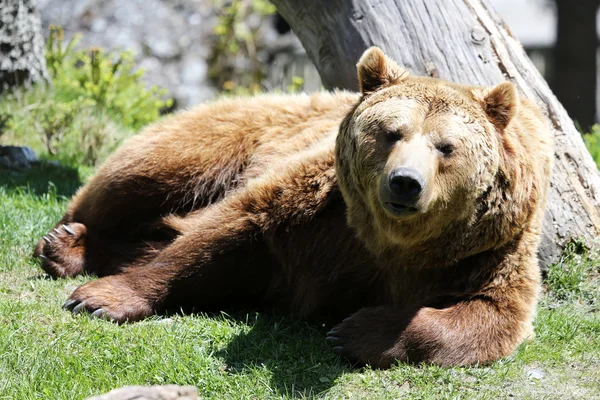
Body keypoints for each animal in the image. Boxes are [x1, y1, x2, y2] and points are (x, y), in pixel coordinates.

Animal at [35, 47, 556, 368]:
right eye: (392, 132)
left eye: (445, 146)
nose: (405, 183)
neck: (393, 243)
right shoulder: (318, 204)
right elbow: (228, 229)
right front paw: (101, 298)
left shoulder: (486, 254)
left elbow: (489, 318)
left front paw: (356, 330)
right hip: (227, 136)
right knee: (133, 181)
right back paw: (66, 244)